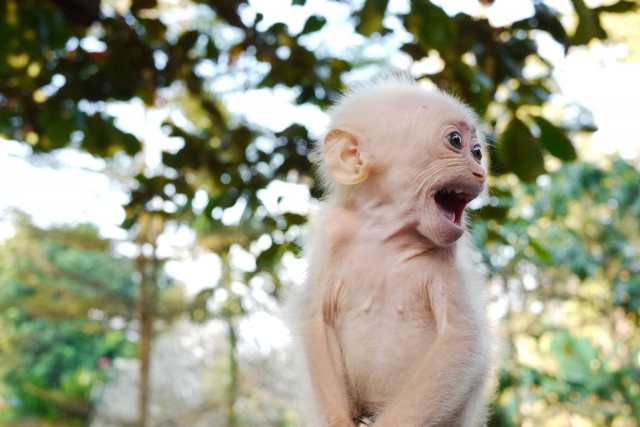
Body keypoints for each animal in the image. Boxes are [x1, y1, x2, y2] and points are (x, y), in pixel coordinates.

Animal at [292, 77, 492, 427]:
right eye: (455, 141)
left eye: (477, 152)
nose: (480, 171)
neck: (385, 230)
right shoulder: (333, 230)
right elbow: (316, 317)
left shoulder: (450, 252)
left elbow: (462, 338)